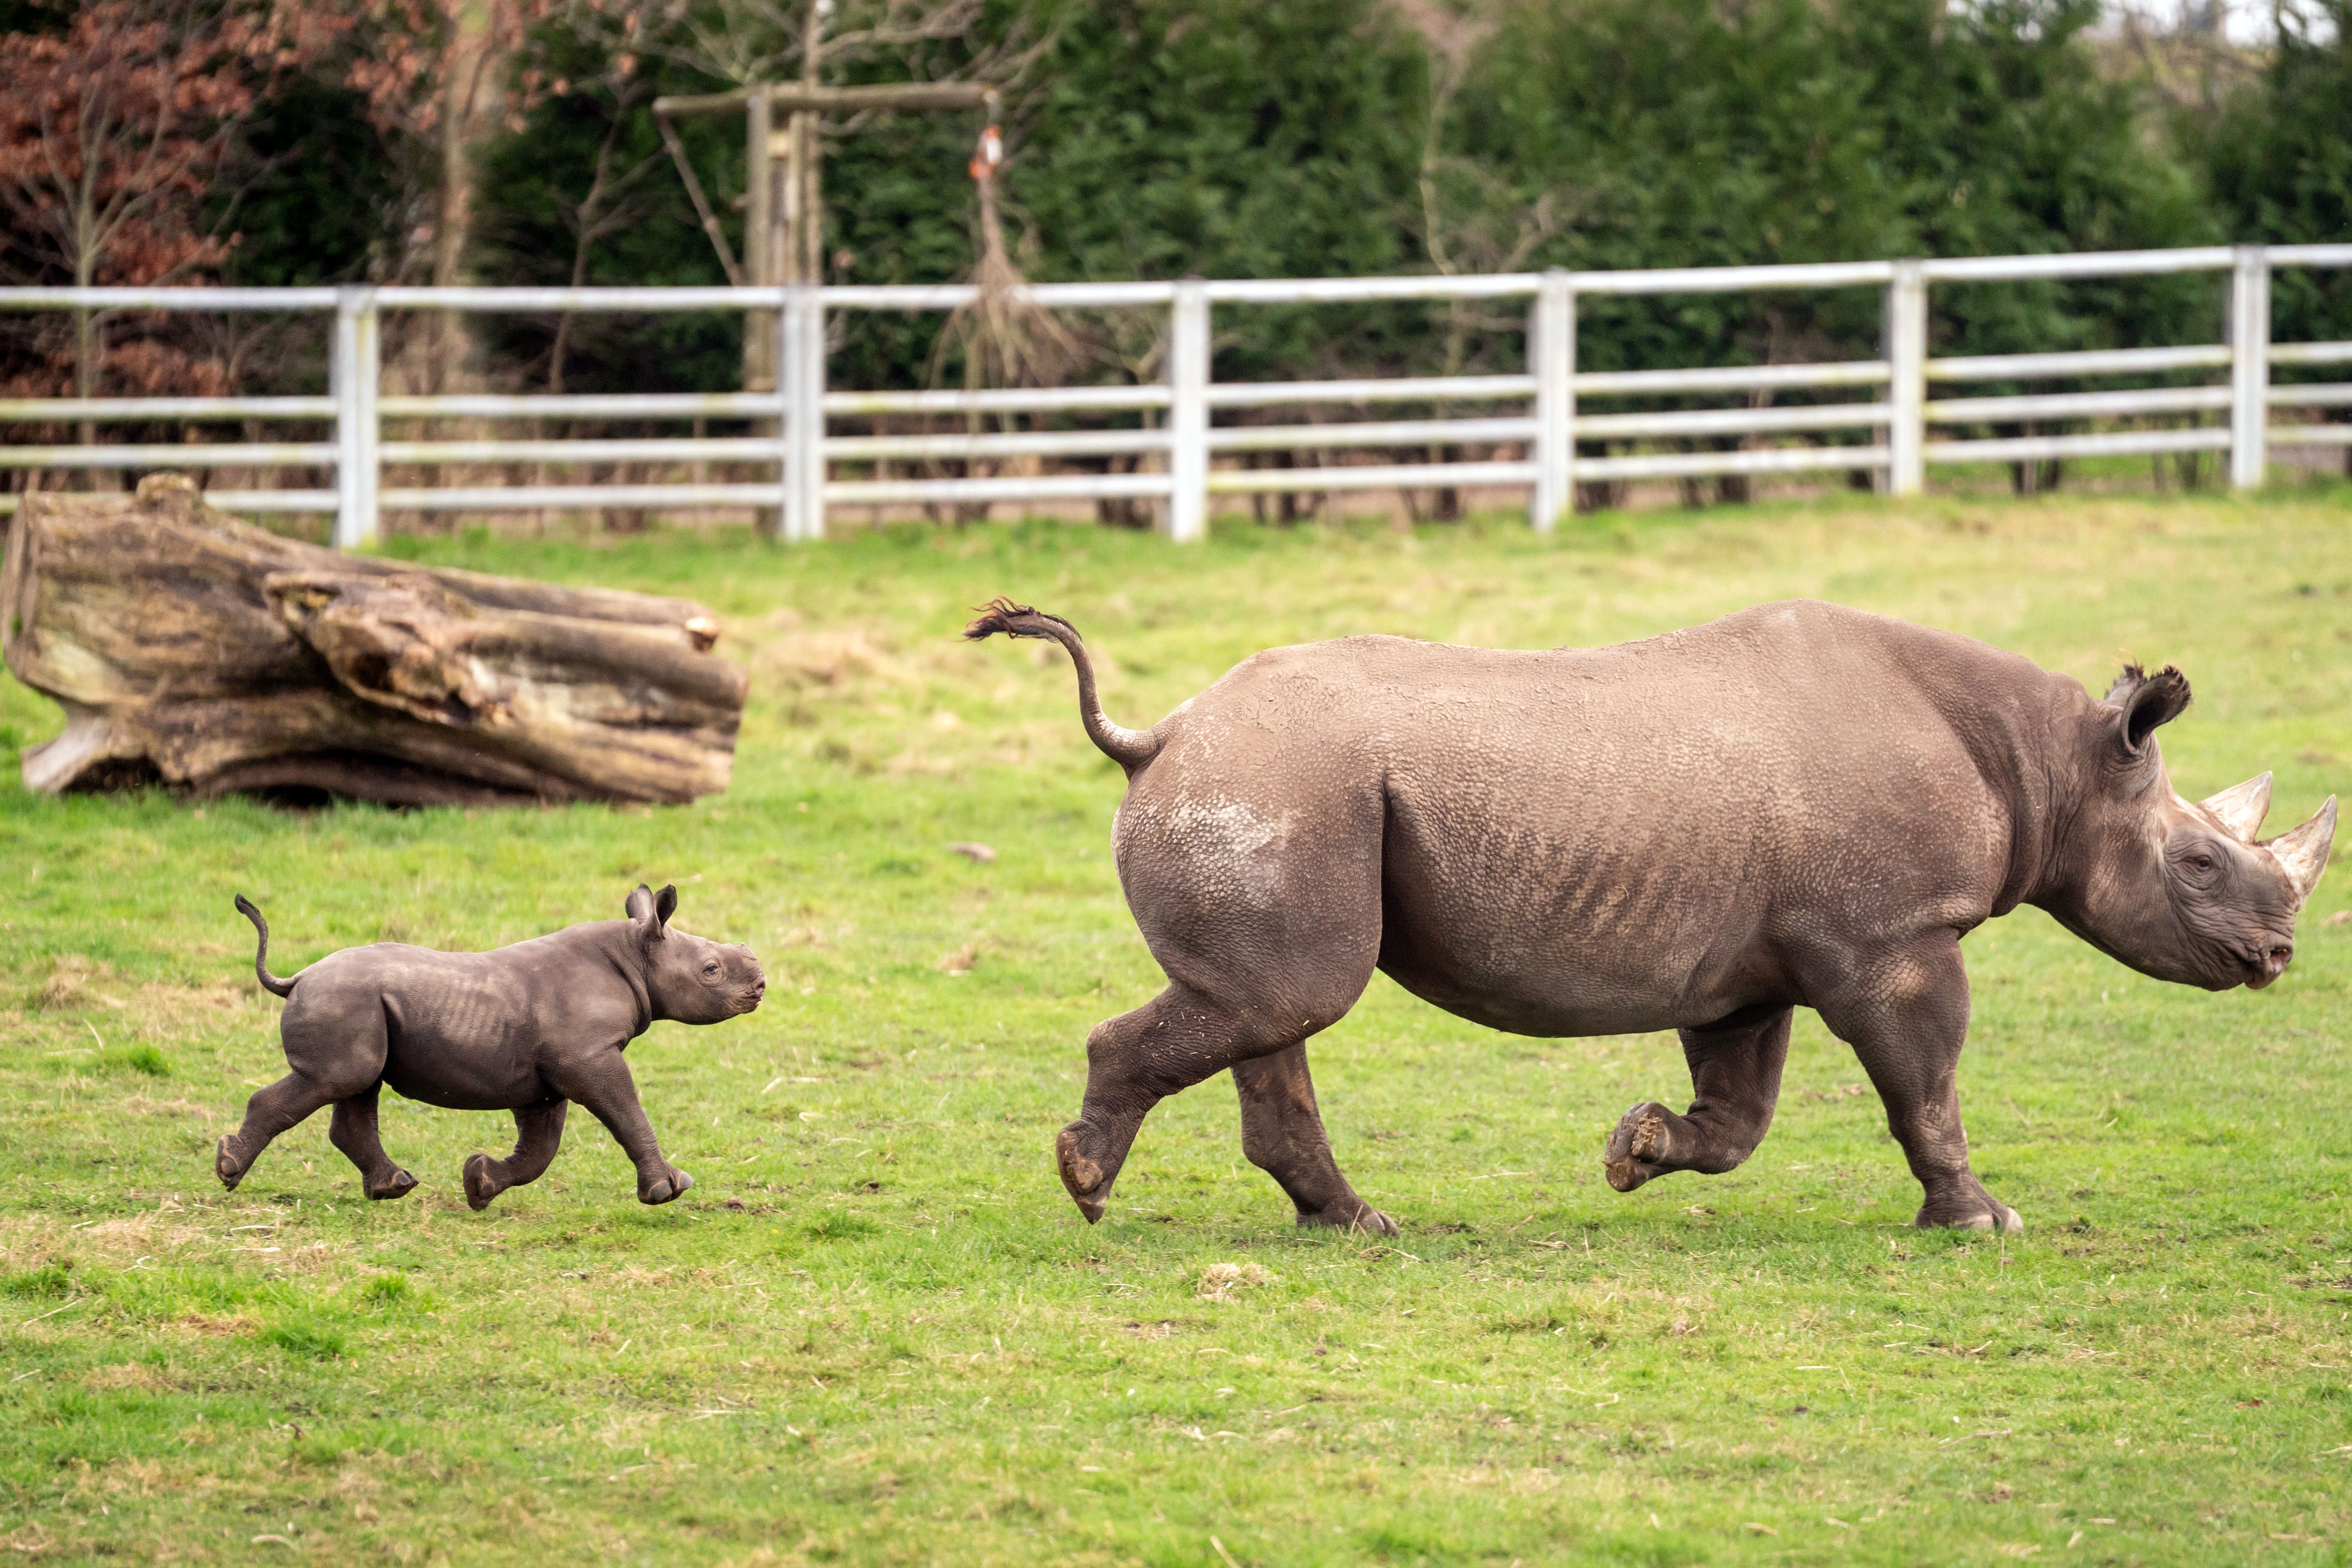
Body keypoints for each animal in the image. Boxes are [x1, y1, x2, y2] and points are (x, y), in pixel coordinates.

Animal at [221, 884, 762, 1213]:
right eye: (711, 970)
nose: (760, 985)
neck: (637, 953)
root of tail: (297, 978)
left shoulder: (549, 1074)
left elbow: (541, 1148)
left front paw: (479, 1184)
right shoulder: (586, 1056)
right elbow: (627, 1112)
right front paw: (668, 1190)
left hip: (355, 1004)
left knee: (357, 1086)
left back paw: (394, 1187)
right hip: (342, 1000)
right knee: (338, 1079)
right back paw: (228, 1171)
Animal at [969, 602, 2333, 1241]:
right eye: (2198, 863)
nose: (2276, 957)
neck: (2050, 763)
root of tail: (1158, 735)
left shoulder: (1762, 961)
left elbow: (1741, 1113)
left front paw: (1635, 1151)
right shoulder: (1890, 938)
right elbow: (1926, 1083)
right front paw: (1981, 1221)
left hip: (1275, 787)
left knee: (1273, 1013)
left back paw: (1354, 1224)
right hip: (1274, 784)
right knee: (1285, 1002)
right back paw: (1088, 1186)